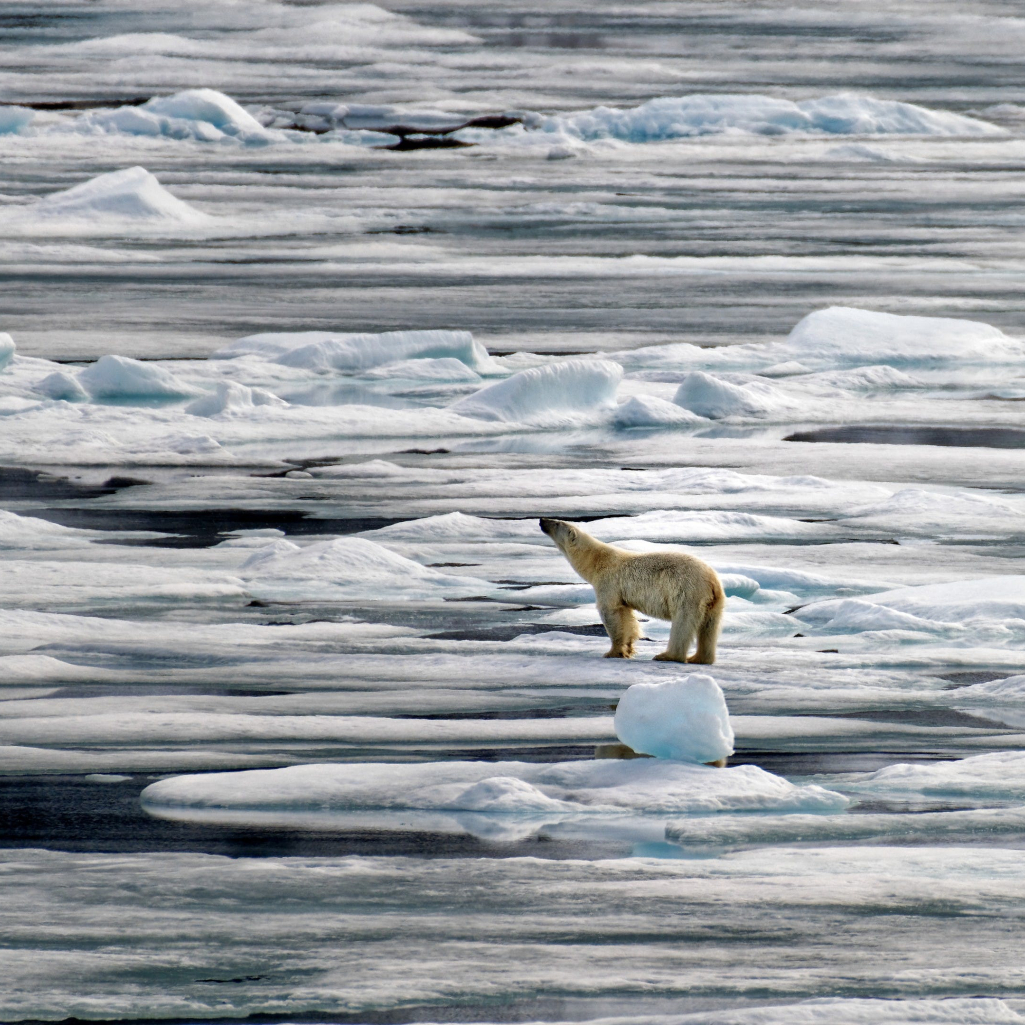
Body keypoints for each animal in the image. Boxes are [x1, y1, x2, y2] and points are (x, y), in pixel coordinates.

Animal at [541, 520, 725, 664]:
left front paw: (612, 652)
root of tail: (712, 581)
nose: (542, 520)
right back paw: (700, 658)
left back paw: (667, 655)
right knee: (709, 627)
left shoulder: (609, 583)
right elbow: (627, 617)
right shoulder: (621, 594)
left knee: (683, 622)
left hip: (687, 591)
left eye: (557, 523)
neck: (597, 561)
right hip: (714, 602)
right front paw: (628, 648)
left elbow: (611, 614)